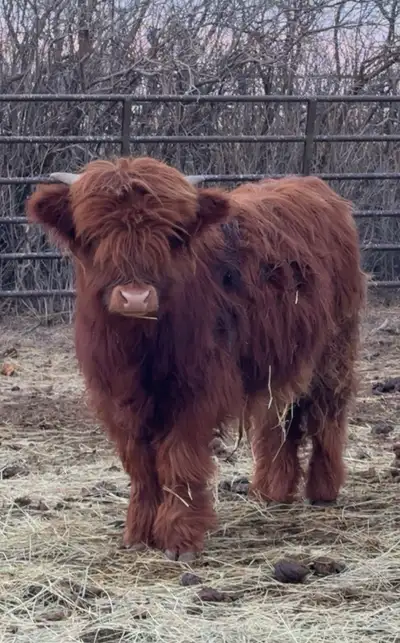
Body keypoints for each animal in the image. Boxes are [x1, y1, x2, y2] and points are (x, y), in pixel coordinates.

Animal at [26, 156, 366, 561]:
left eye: (170, 236)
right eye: (95, 233)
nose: (136, 298)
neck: (139, 348)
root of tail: (315, 187)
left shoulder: (197, 392)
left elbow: (180, 460)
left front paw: (179, 539)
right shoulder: (117, 399)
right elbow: (140, 466)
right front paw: (138, 533)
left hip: (335, 348)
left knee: (328, 413)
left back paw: (323, 490)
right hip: (281, 359)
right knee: (279, 418)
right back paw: (272, 491)